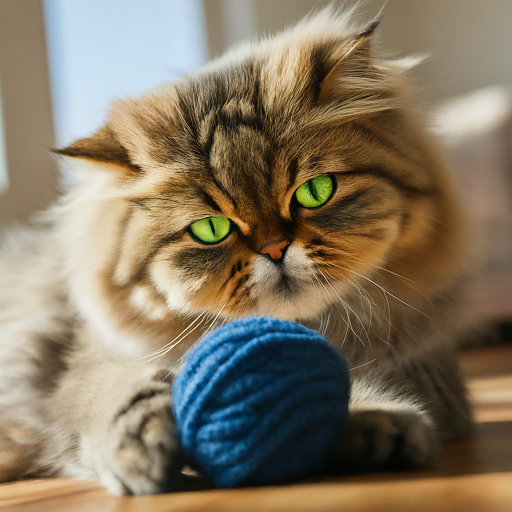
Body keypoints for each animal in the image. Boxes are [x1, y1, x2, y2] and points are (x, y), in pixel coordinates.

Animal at [0, 9, 472, 496]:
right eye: (211, 229)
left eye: (316, 192)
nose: (275, 249)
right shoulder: (82, 362)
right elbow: (122, 392)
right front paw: (145, 447)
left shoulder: (428, 372)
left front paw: (374, 423)